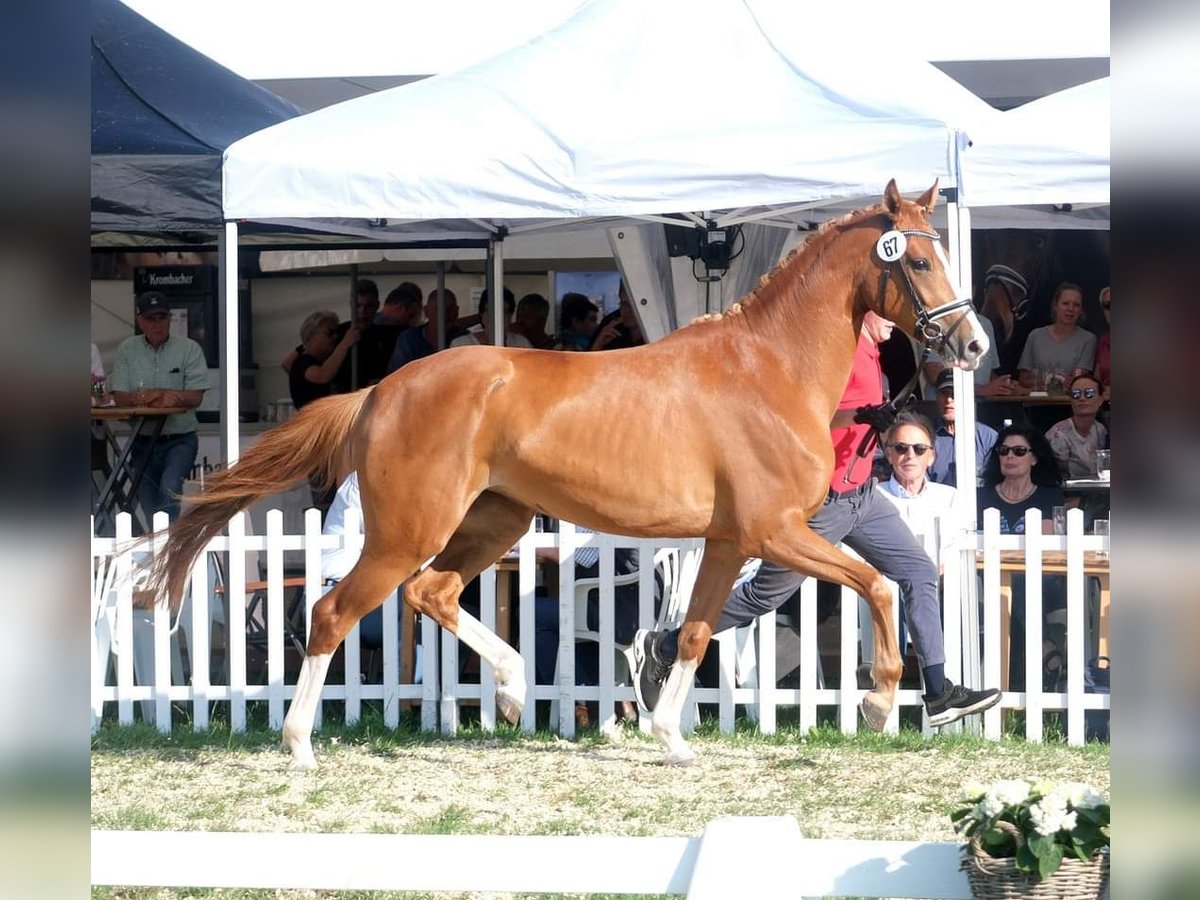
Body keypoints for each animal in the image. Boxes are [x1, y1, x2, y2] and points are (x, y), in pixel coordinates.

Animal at [154, 181, 988, 768]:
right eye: (918, 260)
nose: (974, 344)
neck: (768, 370)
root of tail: (380, 390)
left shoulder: (729, 541)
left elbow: (691, 632)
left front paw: (669, 735)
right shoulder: (776, 531)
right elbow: (879, 585)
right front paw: (882, 702)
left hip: (496, 520)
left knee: (432, 594)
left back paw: (512, 691)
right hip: (408, 532)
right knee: (334, 613)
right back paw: (300, 745)